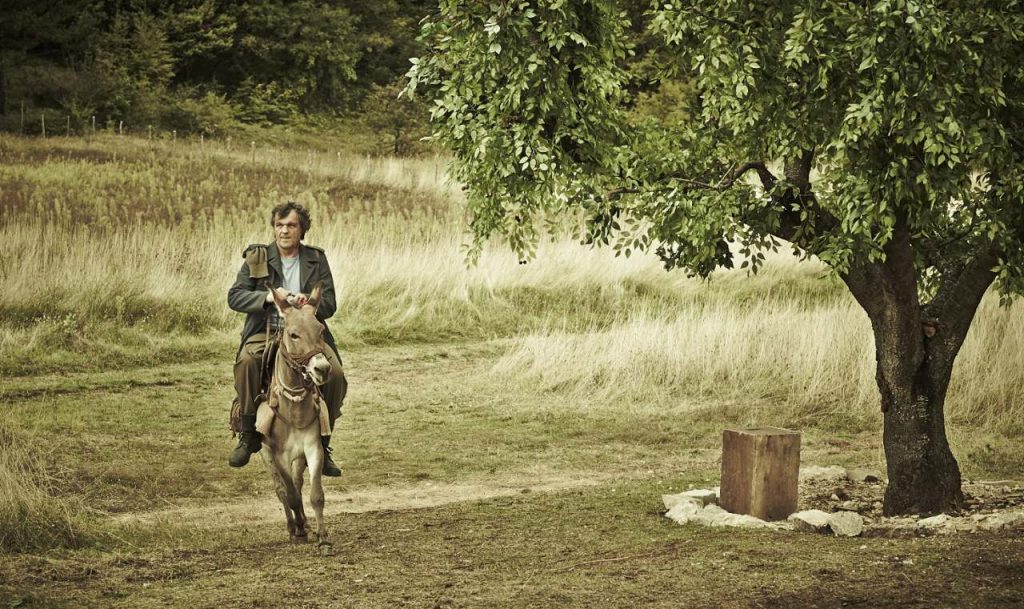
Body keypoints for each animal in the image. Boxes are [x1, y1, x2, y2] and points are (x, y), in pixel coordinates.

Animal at [256, 283, 333, 549]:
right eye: (293, 335)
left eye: (320, 330)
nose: (322, 369)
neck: (294, 409)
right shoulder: (278, 454)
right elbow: (290, 495)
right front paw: (299, 528)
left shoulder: (312, 448)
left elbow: (315, 495)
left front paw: (323, 538)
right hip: (266, 454)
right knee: (281, 489)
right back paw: (294, 526)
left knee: (298, 483)